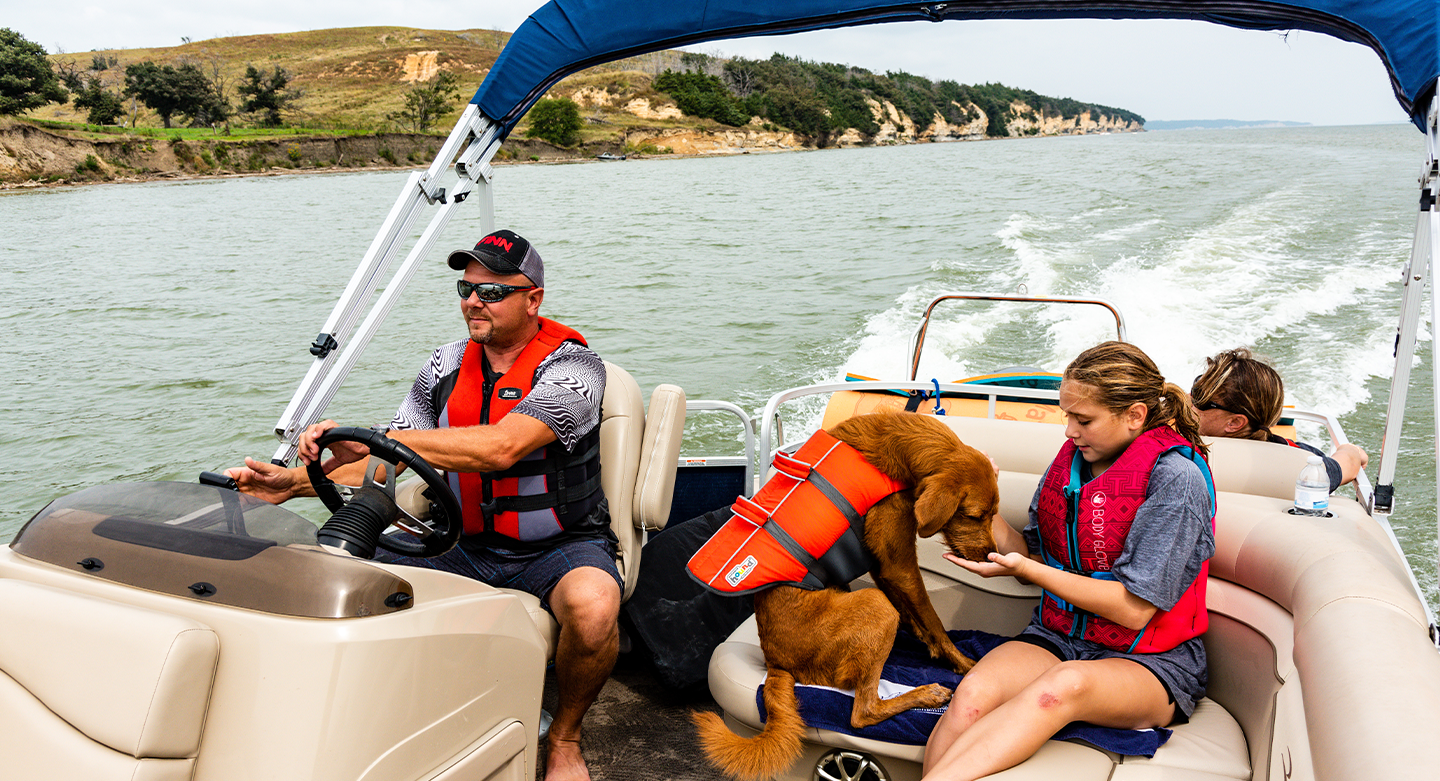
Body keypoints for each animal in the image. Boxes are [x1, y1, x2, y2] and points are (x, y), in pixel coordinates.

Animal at [691, 412, 996, 778]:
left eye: (994, 514)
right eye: (975, 515)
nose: (991, 555)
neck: (898, 450)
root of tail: (774, 661)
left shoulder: (883, 566)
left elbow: (917, 615)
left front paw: (929, 644)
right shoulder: (899, 564)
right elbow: (932, 617)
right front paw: (963, 662)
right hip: (875, 605)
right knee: (862, 713)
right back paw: (926, 695)